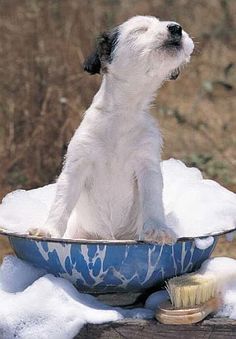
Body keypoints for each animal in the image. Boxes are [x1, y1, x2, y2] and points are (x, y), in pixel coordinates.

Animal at [29, 15, 195, 243]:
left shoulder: (147, 166)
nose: (177, 28)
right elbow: (61, 203)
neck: (123, 113)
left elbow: (152, 202)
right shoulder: (77, 165)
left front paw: (157, 229)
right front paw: (48, 230)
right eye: (140, 29)